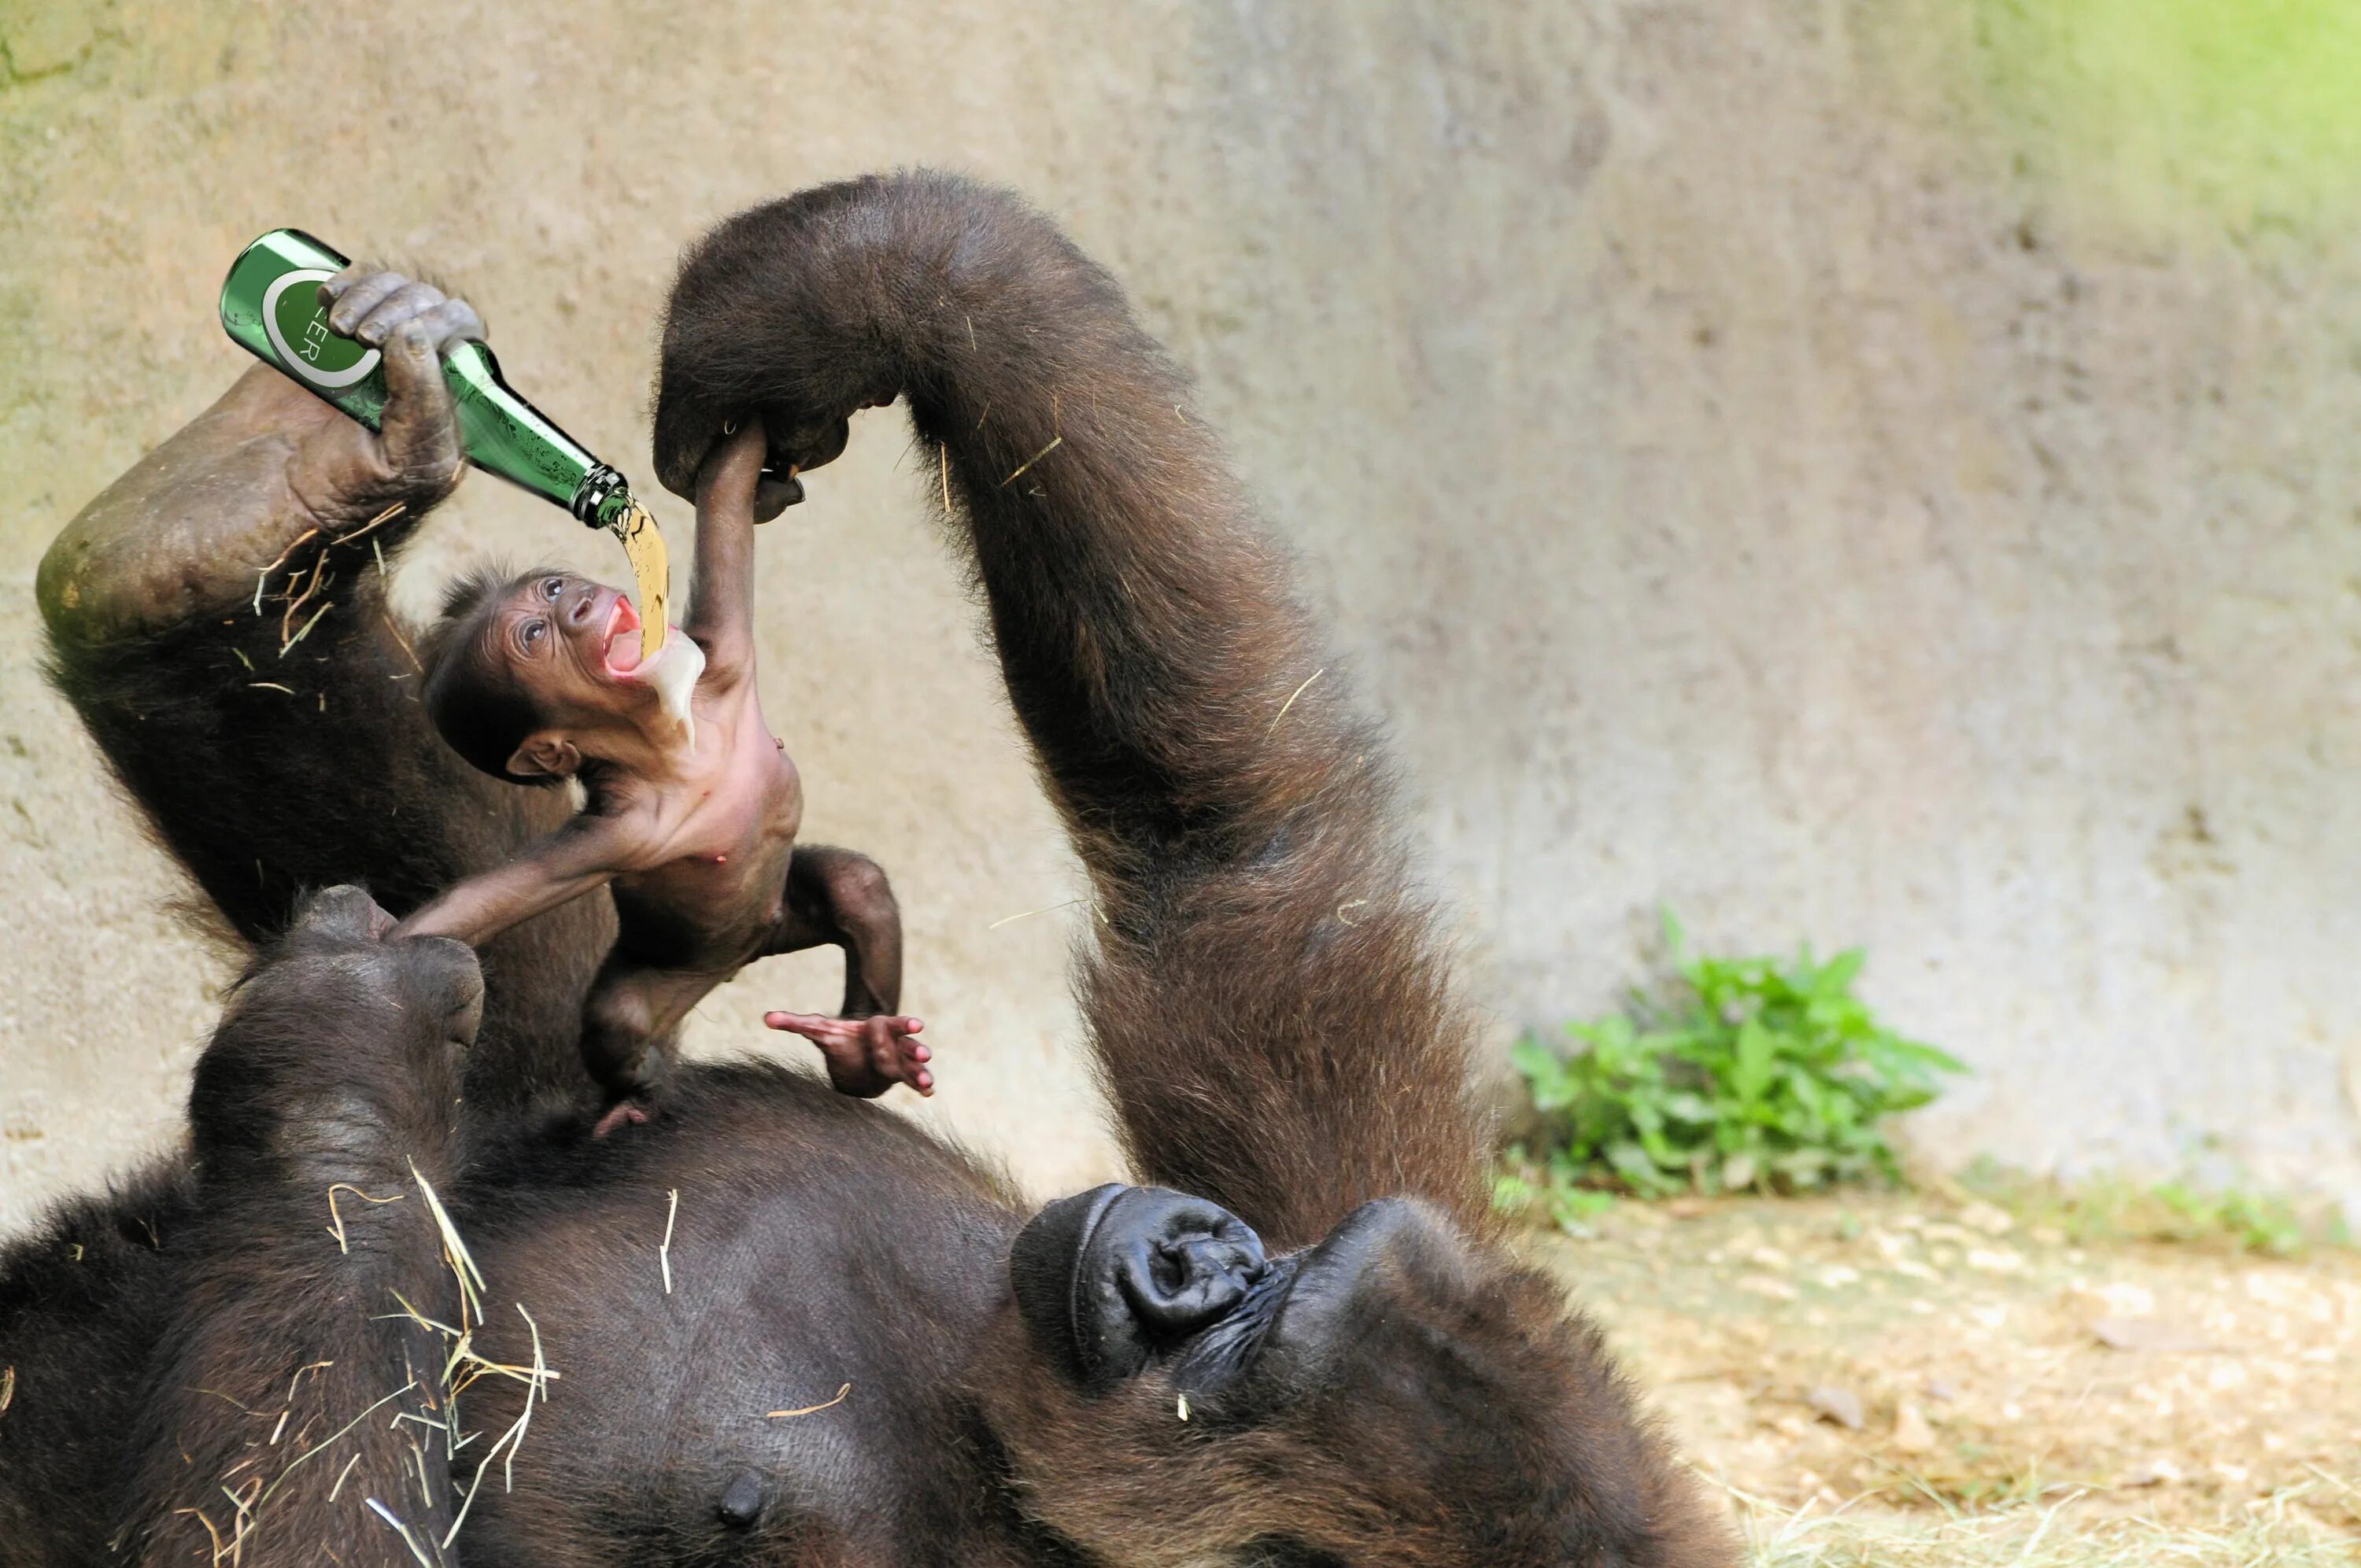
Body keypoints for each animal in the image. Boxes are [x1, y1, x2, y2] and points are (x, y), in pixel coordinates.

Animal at [364, 302, 926, 1114]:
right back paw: (652, 1089)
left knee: (858, 884)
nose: (582, 604)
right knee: (618, 1018)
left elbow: (725, 496)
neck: (676, 740)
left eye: (554, 591)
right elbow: (470, 909)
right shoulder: (619, 829)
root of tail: (740, 958)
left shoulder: (720, 655)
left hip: (780, 914)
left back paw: (865, 1048)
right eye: (534, 635)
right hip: (666, 971)